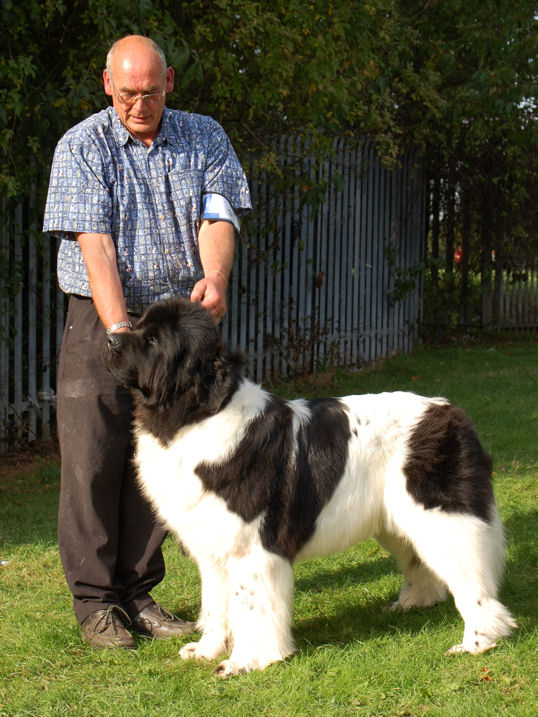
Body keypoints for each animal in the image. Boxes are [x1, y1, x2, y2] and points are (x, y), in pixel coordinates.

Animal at [102, 296, 512, 676]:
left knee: (472, 581)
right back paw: (414, 602)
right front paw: (207, 650)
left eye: (153, 340)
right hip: (398, 520)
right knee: (421, 562)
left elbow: (250, 607)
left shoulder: (253, 549)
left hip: (443, 519)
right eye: (138, 325)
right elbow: (215, 605)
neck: (196, 415)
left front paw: (245, 662)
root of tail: (450, 411)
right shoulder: (215, 546)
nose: (110, 339)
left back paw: (478, 641)